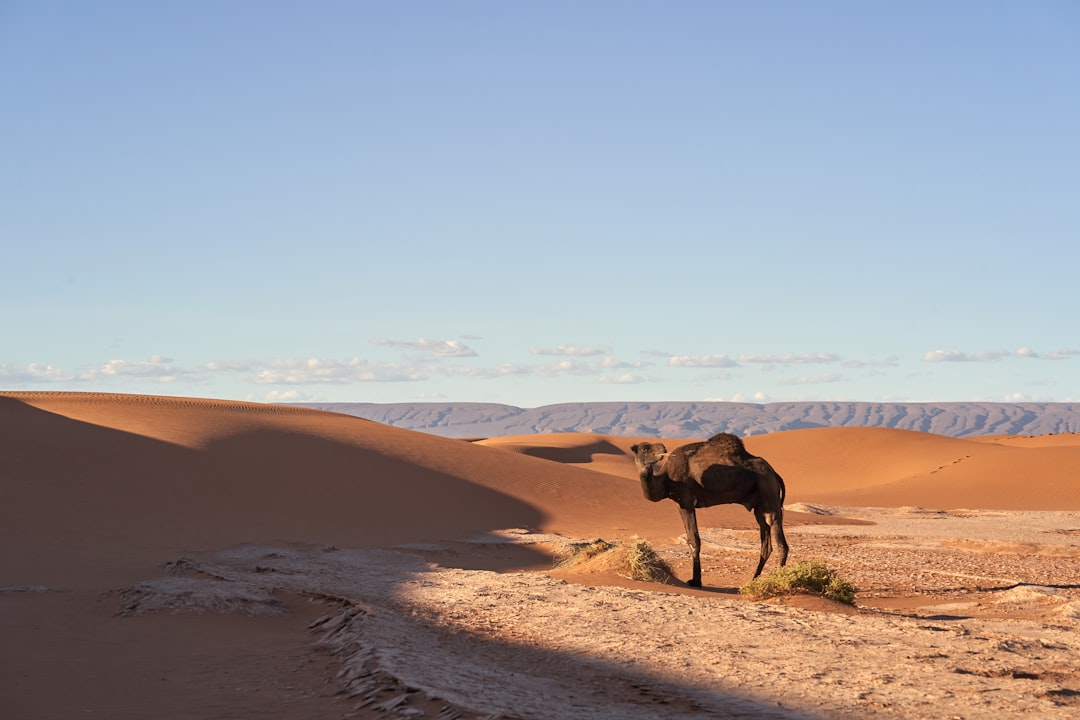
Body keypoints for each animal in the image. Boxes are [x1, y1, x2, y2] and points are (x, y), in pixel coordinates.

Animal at [630, 433, 790, 587]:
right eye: (645, 448)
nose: (663, 448)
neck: (666, 479)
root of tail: (774, 473)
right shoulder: (680, 503)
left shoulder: (686, 501)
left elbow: (694, 540)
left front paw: (696, 581)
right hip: (759, 505)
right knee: (766, 542)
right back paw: (753, 581)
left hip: (768, 488)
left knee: (780, 539)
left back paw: (776, 580)